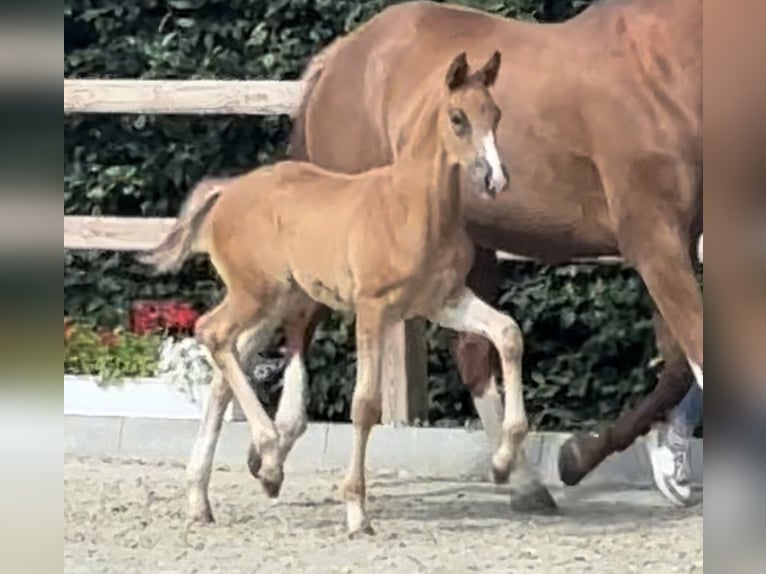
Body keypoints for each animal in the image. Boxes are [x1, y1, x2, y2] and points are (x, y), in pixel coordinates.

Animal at [141, 51, 544, 536]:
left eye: (496, 115)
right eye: (458, 118)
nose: (494, 180)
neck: (412, 208)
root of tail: (228, 191)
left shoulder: (443, 301)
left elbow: (508, 333)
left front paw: (502, 463)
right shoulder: (372, 309)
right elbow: (366, 404)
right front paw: (356, 512)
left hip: (274, 302)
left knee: (225, 365)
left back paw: (208, 495)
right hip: (255, 293)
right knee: (210, 332)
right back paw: (266, 453)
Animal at [248, 0, 704, 504]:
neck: (659, 69)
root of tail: (340, 57)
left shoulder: (678, 242)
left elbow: (678, 368)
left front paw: (582, 456)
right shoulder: (653, 238)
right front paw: (581, 456)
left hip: (472, 242)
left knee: (472, 348)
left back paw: (524, 481)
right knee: (303, 316)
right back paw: (275, 448)